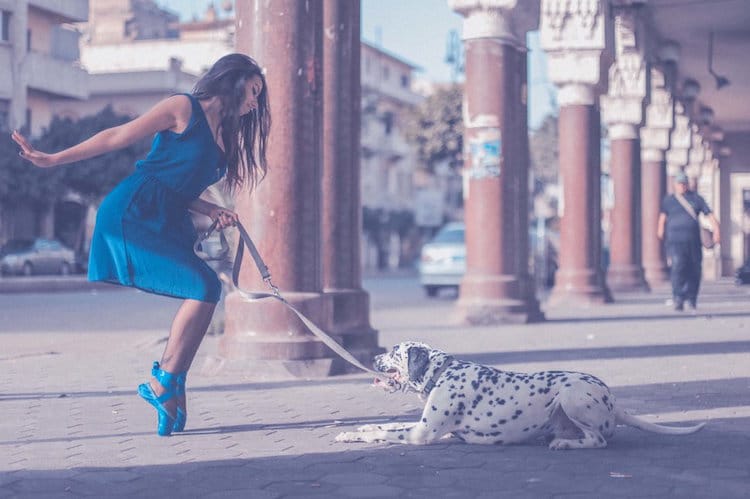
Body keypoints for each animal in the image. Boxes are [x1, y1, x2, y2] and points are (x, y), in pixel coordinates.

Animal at [338, 342, 708, 452]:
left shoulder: (420, 433)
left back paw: (566, 444)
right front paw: (355, 429)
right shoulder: (420, 425)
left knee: (598, 440)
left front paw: (356, 435)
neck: (443, 372)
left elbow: (383, 434)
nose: (373, 357)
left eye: (393, 351)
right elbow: (383, 426)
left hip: (571, 393)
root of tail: (615, 404)